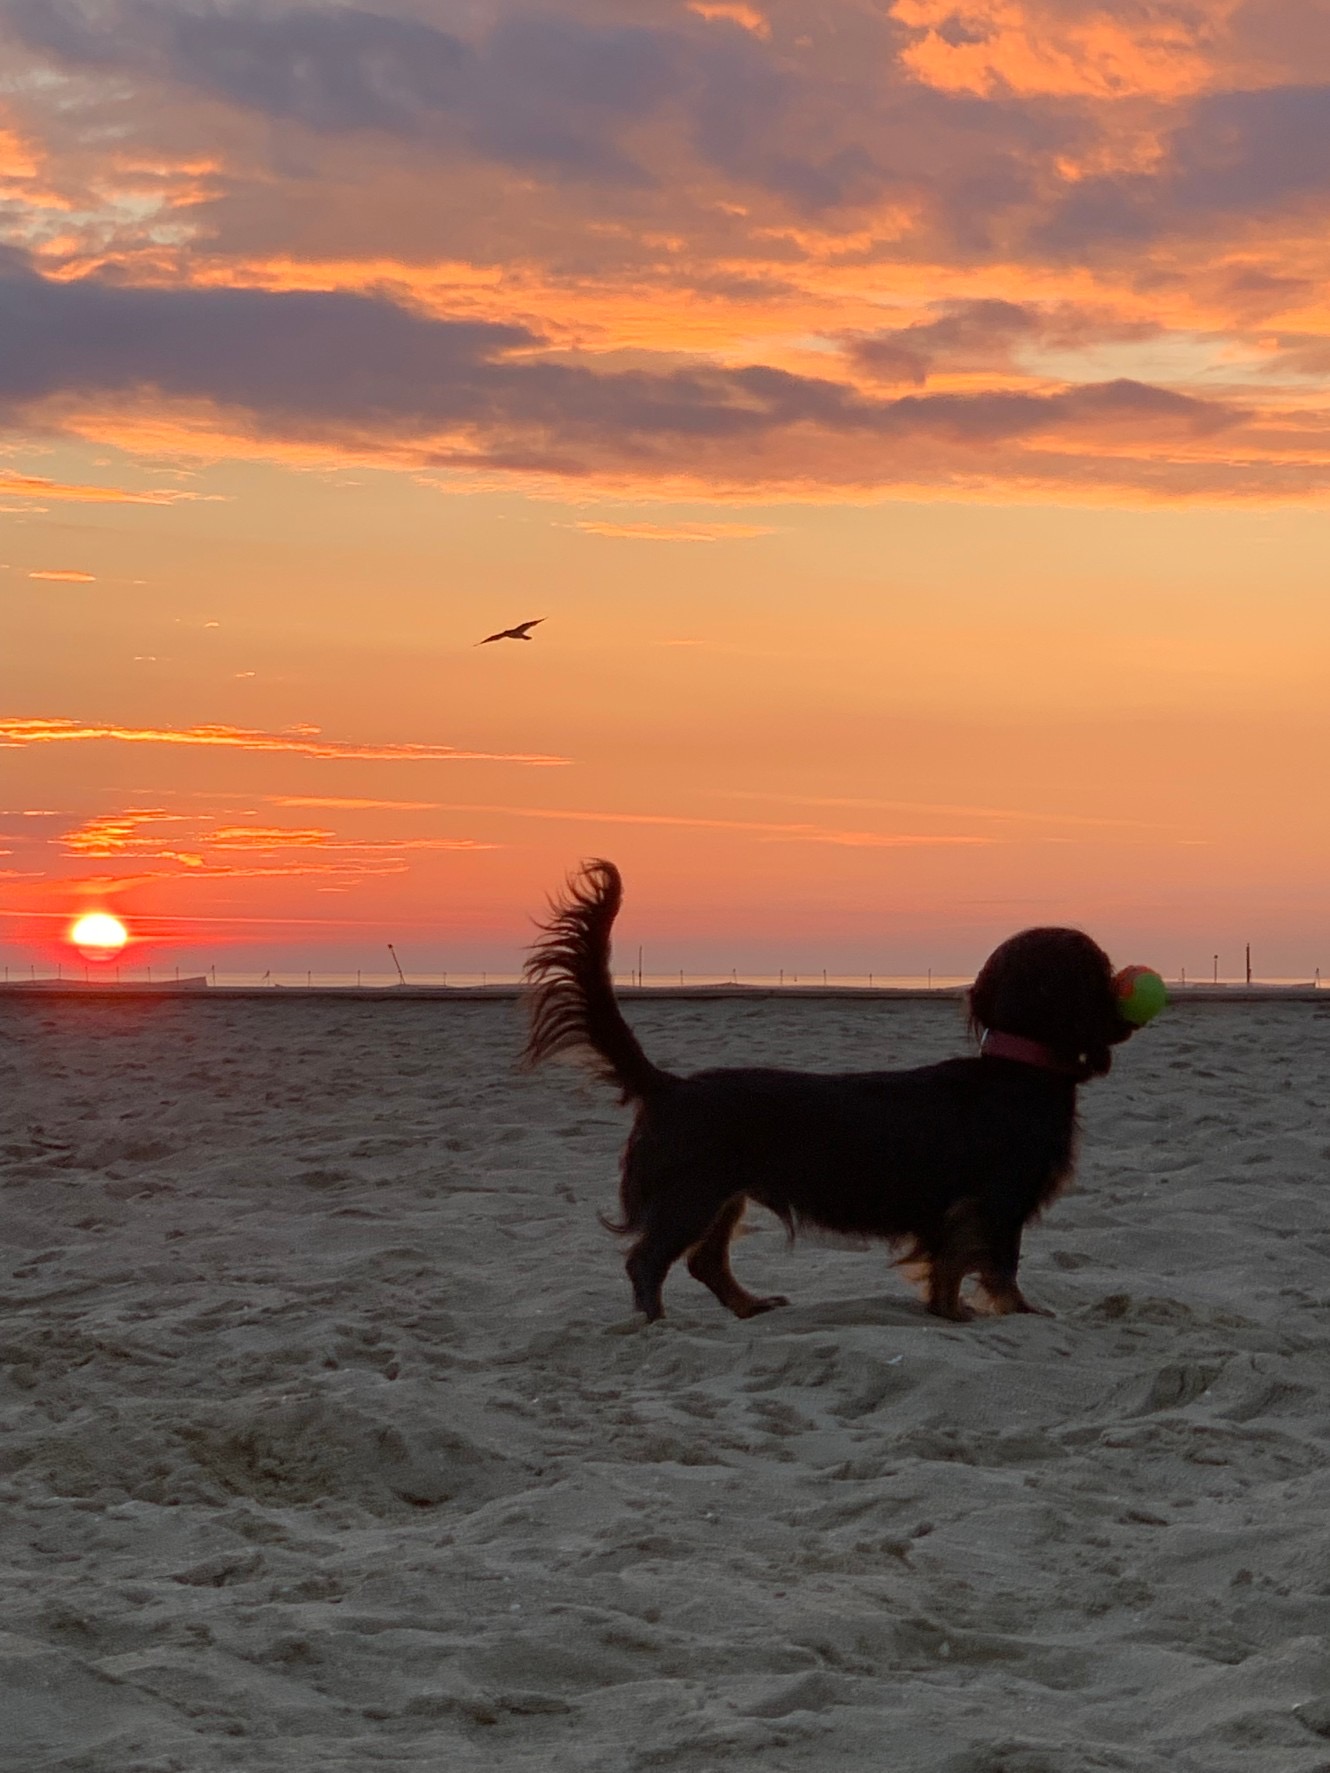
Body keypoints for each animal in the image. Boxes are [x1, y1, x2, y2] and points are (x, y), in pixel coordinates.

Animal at [524, 858, 1142, 1319]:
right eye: (1099, 965)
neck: (1018, 1067)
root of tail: (668, 1086)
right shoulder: (998, 1199)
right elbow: (998, 1269)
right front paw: (1019, 1313)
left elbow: (948, 1270)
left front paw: (950, 1313)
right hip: (689, 1195)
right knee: (647, 1262)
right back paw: (656, 1323)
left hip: (723, 1193)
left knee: (706, 1263)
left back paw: (750, 1307)